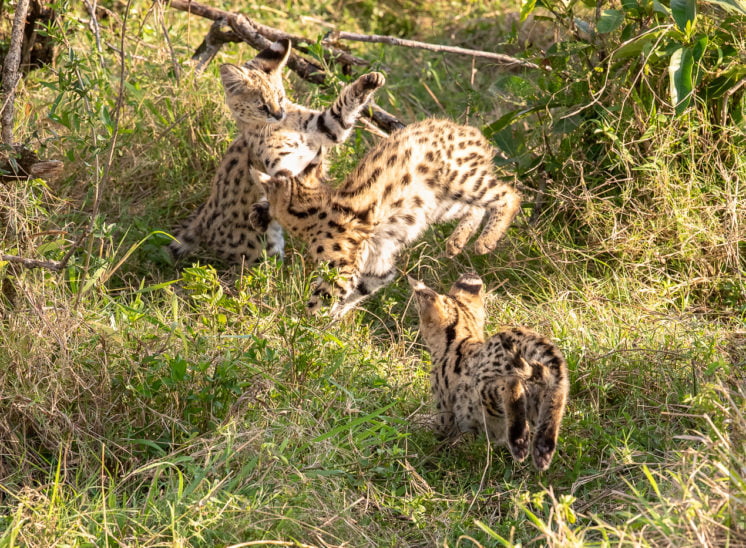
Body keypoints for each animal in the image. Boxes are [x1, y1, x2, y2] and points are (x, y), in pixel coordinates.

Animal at [253, 117, 520, 318]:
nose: (260, 210)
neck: (313, 206)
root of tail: (469, 129)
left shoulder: (342, 270)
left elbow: (322, 300)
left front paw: (302, 329)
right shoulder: (377, 268)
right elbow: (356, 294)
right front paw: (330, 323)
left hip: (461, 180)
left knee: (510, 194)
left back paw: (486, 241)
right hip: (440, 203)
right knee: (477, 208)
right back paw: (457, 241)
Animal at [404, 274, 568, 470]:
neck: (462, 337)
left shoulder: (445, 408)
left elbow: (438, 432)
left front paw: (424, 446)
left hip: (484, 390)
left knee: (511, 385)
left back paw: (519, 441)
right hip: (552, 389)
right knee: (554, 404)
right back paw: (542, 449)